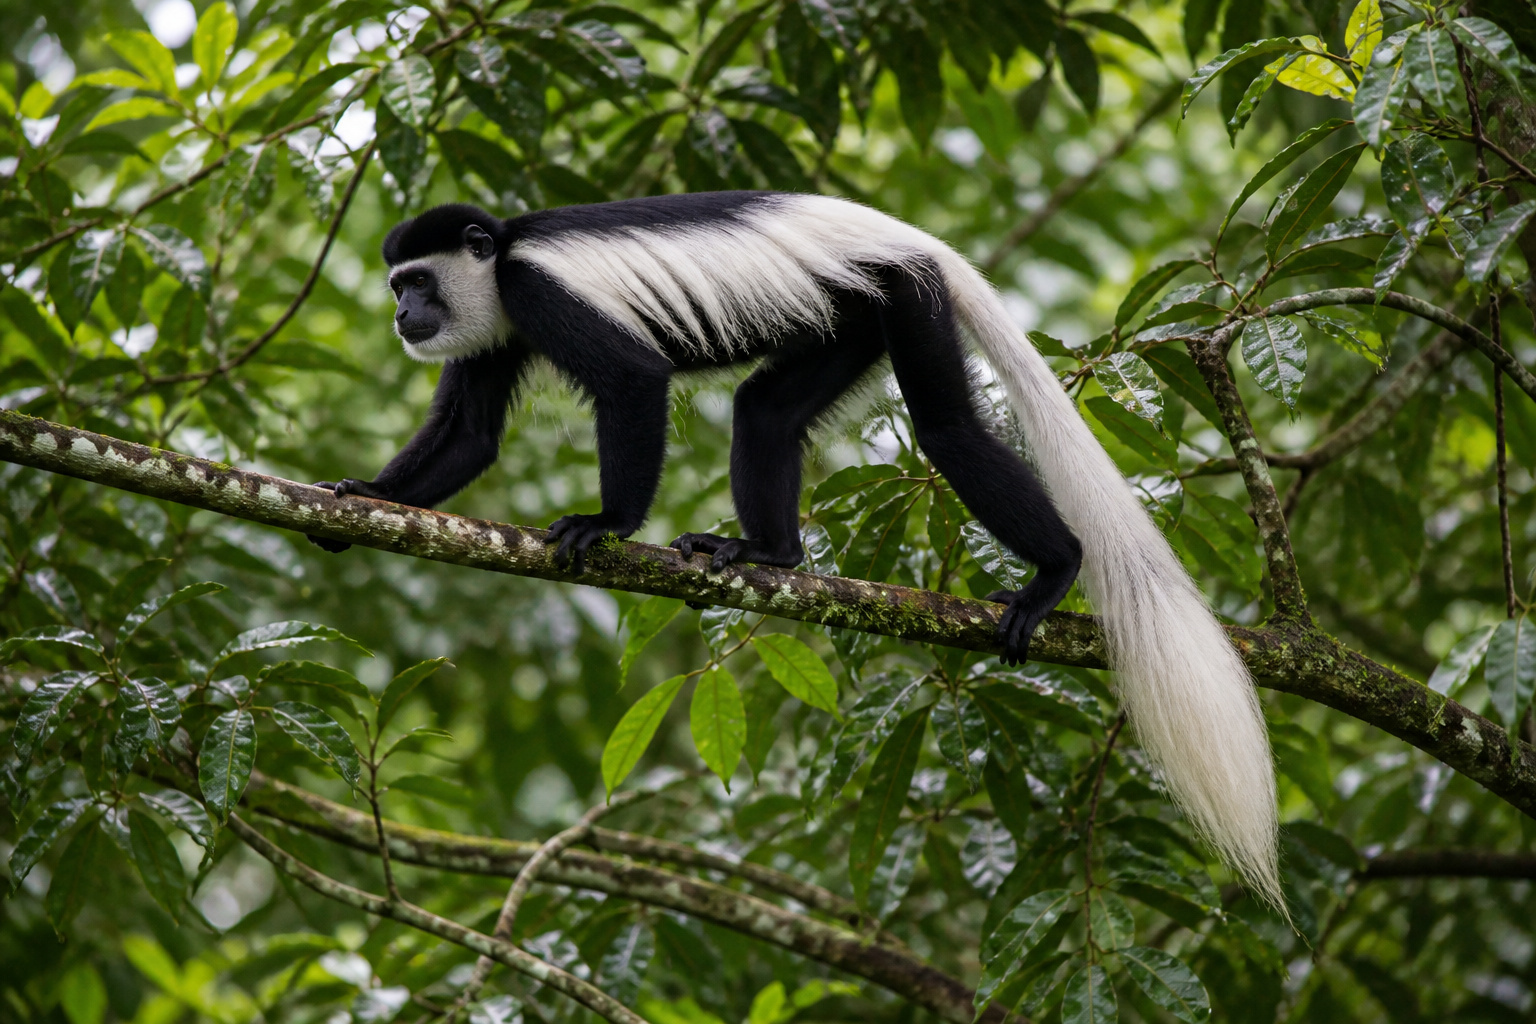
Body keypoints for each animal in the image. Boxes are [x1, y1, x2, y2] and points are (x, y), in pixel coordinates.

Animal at [310, 191, 1280, 905]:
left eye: (416, 280)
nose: (403, 312)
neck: (501, 260)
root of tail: (903, 234)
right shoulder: (495, 330)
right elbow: (471, 436)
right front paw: (356, 503)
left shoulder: (539, 295)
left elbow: (632, 380)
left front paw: (606, 525)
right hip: (846, 317)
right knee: (767, 411)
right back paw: (772, 555)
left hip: (902, 295)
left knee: (948, 428)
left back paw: (1057, 571)